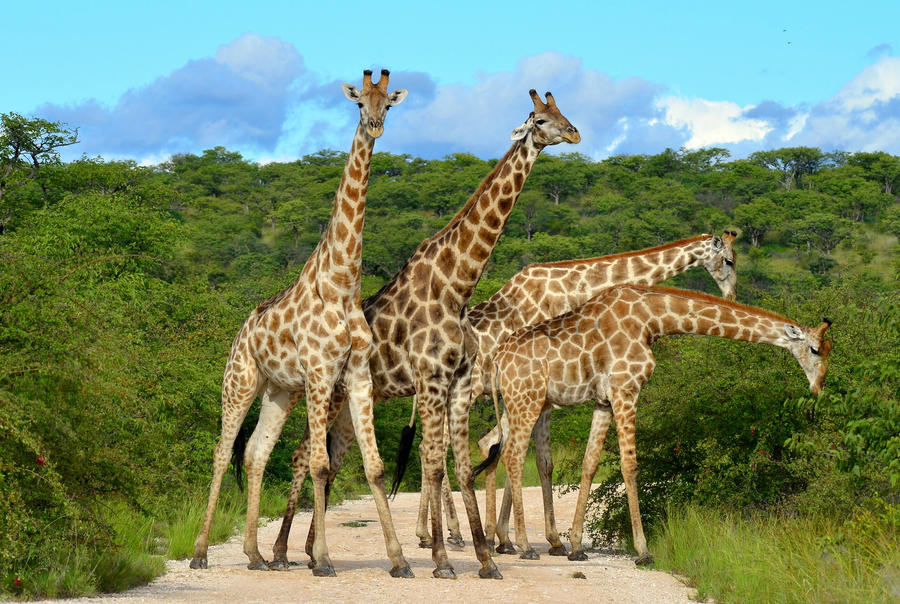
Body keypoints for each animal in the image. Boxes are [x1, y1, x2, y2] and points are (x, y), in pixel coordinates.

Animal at [189, 69, 412, 578]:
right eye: (359, 103)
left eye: (388, 103)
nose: (375, 127)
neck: (342, 283)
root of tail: (240, 332)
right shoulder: (320, 373)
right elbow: (319, 465)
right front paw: (323, 559)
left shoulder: (357, 376)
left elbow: (373, 467)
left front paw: (400, 560)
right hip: (240, 381)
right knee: (221, 453)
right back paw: (200, 552)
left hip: (279, 391)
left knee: (254, 452)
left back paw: (254, 555)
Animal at [269, 90, 580, 579]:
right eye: (542, 119)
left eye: (564, 112)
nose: (575, 133)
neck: (456, 283)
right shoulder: (432, 380)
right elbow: (434, 464)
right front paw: (443, 558)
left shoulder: (456, 383)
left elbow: (457, 465)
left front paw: (484, 558)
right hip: (331, 393)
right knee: (305, 456)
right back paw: (285, 552)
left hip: (352, 401)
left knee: (330, 460)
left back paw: (307, 550)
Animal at [467, 232, 739, 553]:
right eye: (729, 260)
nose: (732, 296)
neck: (573, 288)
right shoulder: (545, 392)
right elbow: (543, 462)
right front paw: (551, 540)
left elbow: (535, 459)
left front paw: (513, 538)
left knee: (484, 444)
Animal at [484, 284, 831, 564]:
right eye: (815, 349)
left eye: (830, 350)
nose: (818, 388)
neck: (653, 320)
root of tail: (497, 359)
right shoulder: (626, 388)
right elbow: (630, 465)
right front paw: (644, 550)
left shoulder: (604, 400)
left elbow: (589, 463)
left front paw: (577, 547)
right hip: (527, 400)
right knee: (513, 456)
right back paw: (523, 546)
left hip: (523, 403)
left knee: (504, 452)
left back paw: (508, 542)